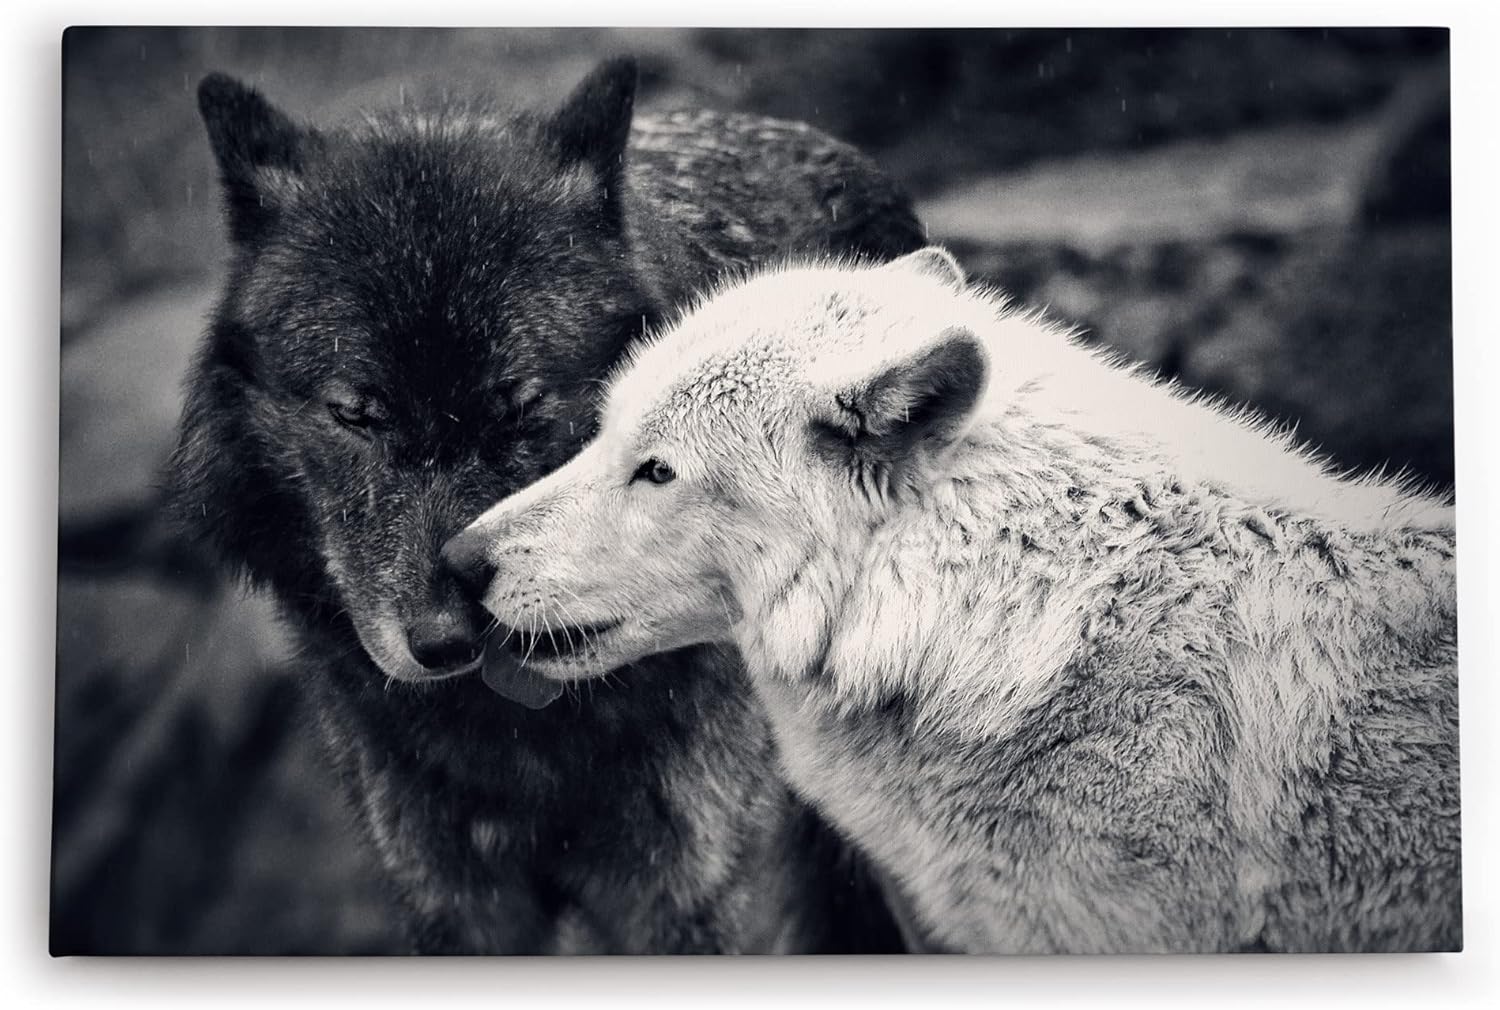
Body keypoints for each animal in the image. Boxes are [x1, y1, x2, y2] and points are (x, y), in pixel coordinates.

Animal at [169, 58, 926, 953]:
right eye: (355, 413)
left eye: (524, 408)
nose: (450, 638)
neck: (521, 729)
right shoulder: (455, 904)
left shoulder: (699, 896)